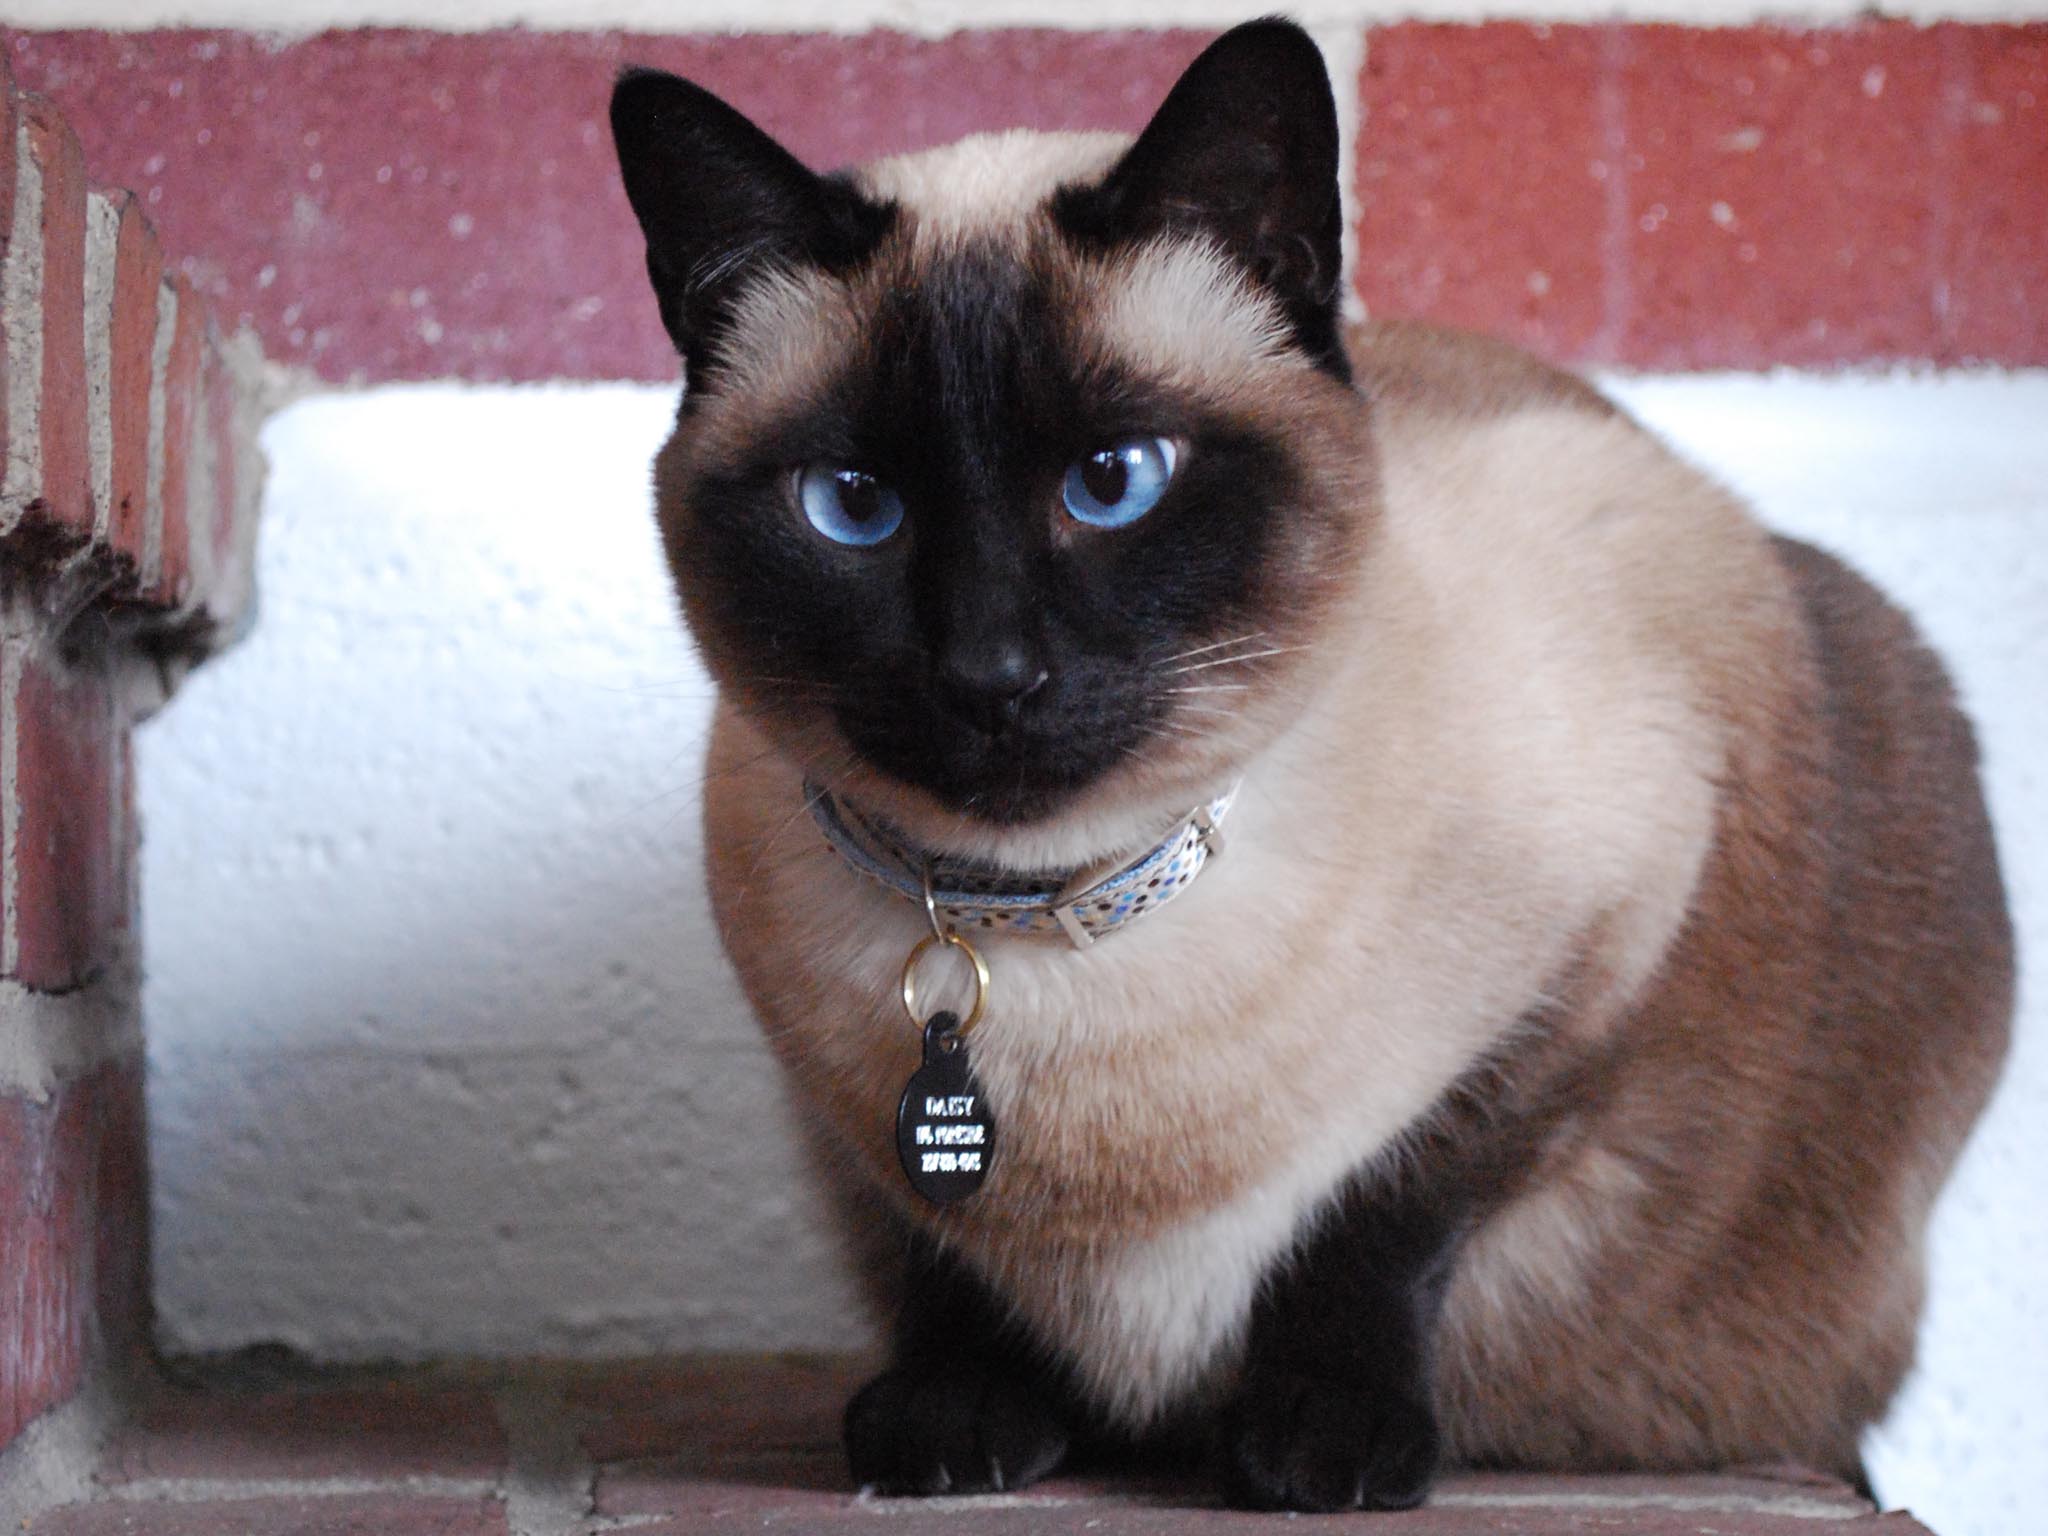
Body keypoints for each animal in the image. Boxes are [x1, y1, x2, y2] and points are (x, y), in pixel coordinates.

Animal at [606, 15, 2015, 1515]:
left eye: (1116, 478)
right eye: (853, 507)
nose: (990, 677)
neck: (1037, 918)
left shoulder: (1591, 966)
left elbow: (1378, 1220)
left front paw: (1321, 1442)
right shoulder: (850, 1133)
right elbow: (941, 1251)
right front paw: (960, 1413)